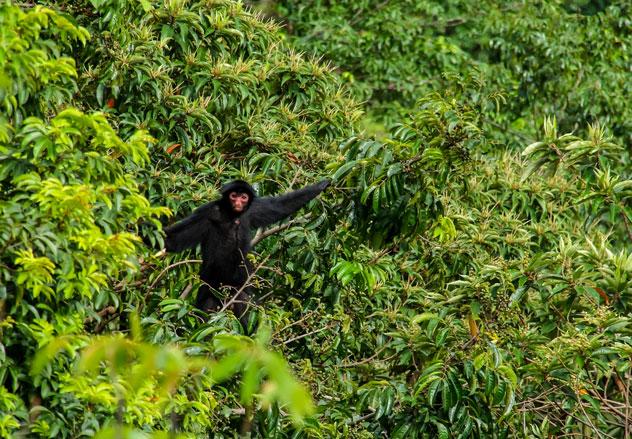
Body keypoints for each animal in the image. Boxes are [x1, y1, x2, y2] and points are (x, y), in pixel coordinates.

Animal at [163, 179, 330, 326]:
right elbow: (175, 238)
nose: (238, 203)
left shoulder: (252, 209)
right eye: (233, 196)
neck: (233, 215)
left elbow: (281, 206)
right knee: (208, 304)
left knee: (243, 299)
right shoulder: (207, 212)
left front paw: (323, 184)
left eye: (243, 197)